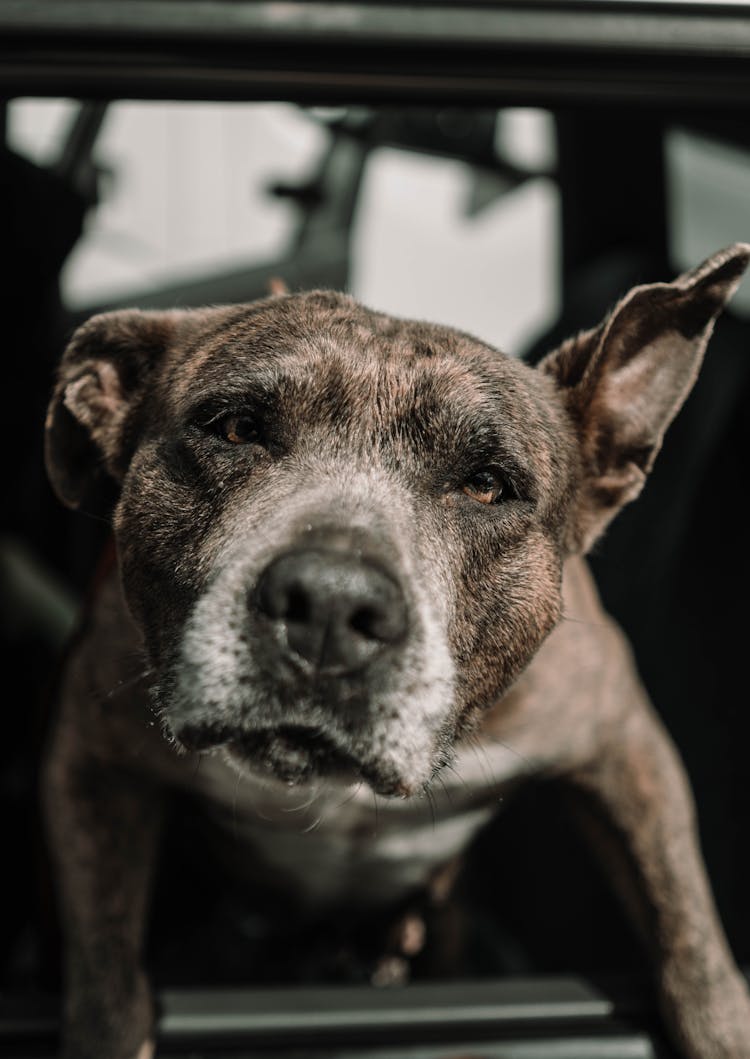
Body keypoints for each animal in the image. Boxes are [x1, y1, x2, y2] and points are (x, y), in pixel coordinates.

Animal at [43, 243, 750, 1054]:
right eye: (236, 429)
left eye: (487, 485)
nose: (330, 603)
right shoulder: (91, 753)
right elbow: (105, 975)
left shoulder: (623, 740)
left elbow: (687, 928)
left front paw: (720, 1020)